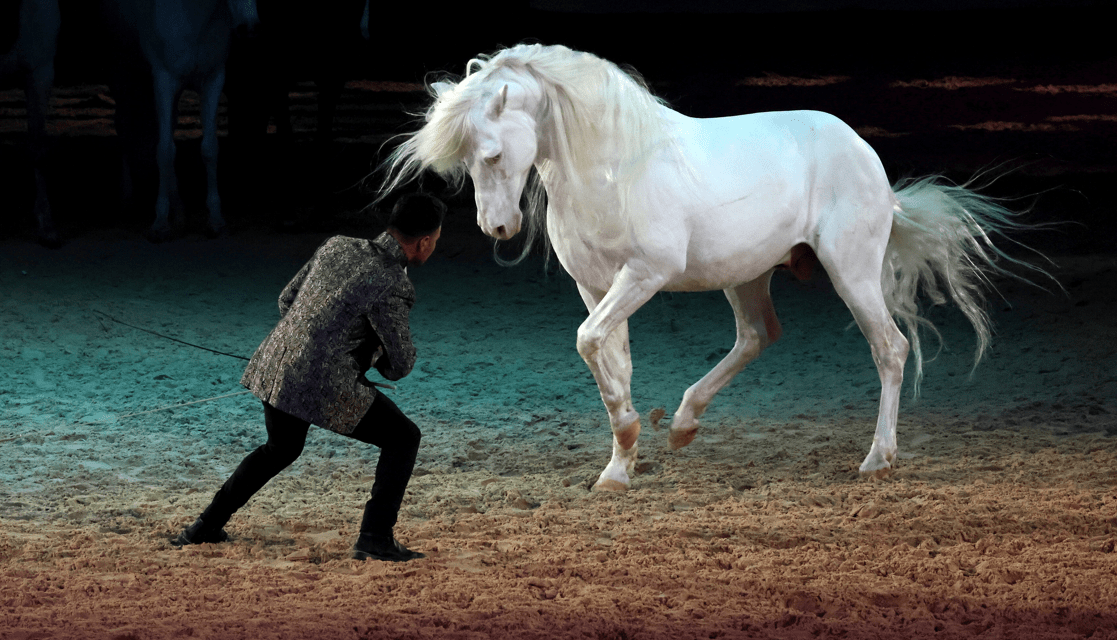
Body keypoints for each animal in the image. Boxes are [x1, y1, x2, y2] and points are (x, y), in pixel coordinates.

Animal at [384, 43, 1045, 489]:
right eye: (467, 159)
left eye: (494, 153)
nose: (497, 228)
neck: (612, 167)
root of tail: (866, 155)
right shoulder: (595, 286)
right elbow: (610, 359)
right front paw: (619, 466)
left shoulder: (642, 277)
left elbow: (589, 341)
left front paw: (629, 440)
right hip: (749, 275)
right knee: (758, 335)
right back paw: (683, 424)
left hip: (851, 271)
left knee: (890, 348)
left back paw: (877, 458)